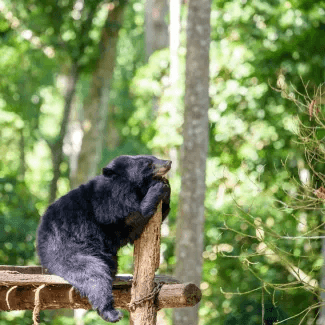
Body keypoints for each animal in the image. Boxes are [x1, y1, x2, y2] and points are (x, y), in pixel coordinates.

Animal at [36, 154, 171, 322]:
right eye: (148, 164)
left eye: (154, 157)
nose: (169, 162)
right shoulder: (107, 208)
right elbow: (132, 220)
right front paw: (157, 188)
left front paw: (167, 188)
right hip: (69, 251)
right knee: (94, 274)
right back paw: (111, 312)